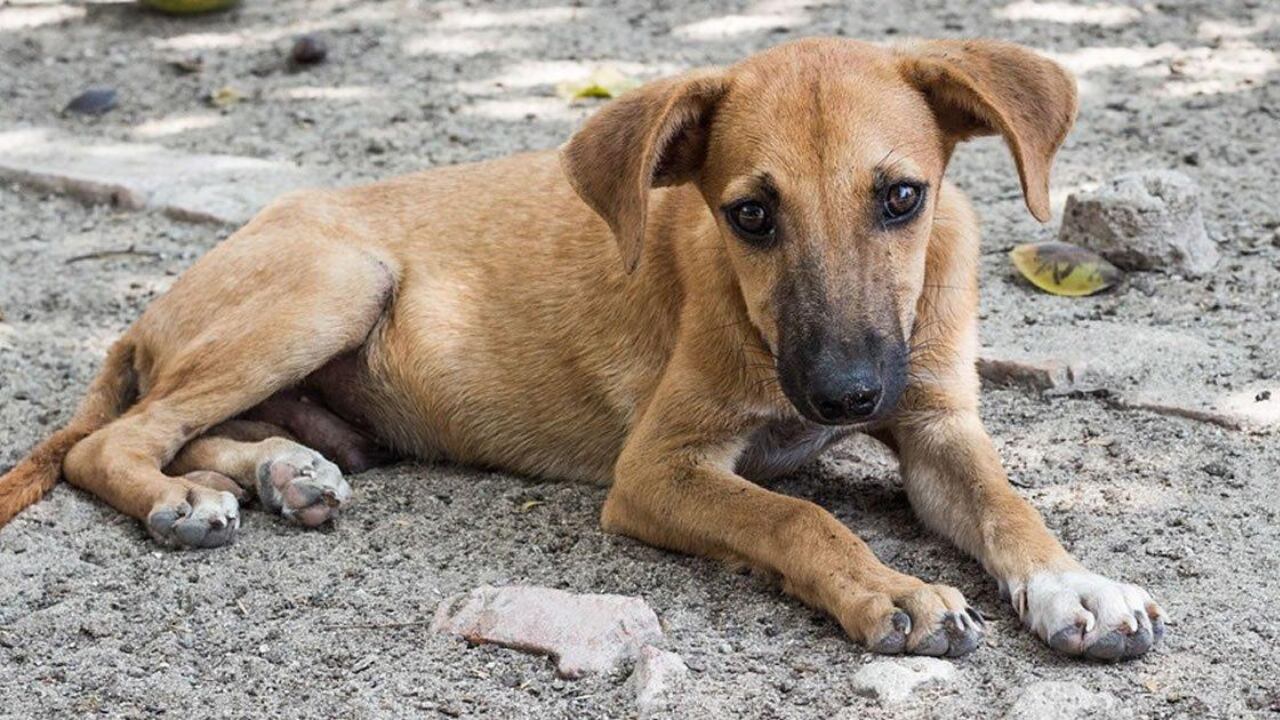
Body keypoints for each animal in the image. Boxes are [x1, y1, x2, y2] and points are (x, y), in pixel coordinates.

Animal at [0, 37, 1167, 655]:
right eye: (750, 215)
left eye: (901, 198)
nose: (845, 395)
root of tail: (147, 311)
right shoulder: (656, 470)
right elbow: (794, 517)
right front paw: (894, 591)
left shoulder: (934, 424)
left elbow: (1010, 506)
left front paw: (1076, 584)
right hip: (333, 282)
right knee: (119, 440)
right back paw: (180, 502)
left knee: (205, 430)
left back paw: (284, 473)